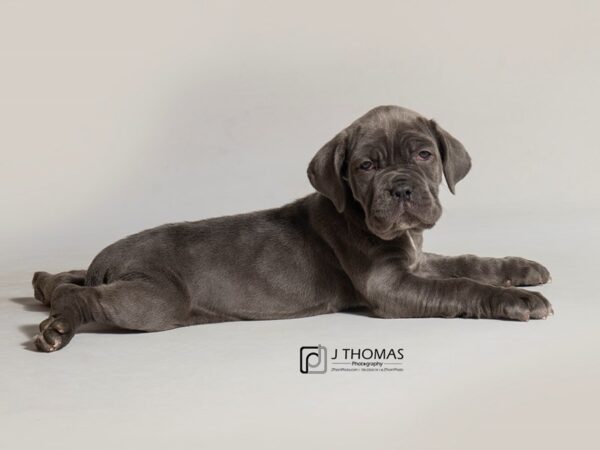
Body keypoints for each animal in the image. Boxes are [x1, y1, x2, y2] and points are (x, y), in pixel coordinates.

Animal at [29, 104, 552, 352]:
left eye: (424, 154)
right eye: (365, 166)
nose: (401, 189)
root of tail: (105, 259)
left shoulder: (417, 259)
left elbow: (469, 261)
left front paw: (522, 269)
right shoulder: (390, 285)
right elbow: (461, 285)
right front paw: (517, 302)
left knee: (66, 280)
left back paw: (41, 283)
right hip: (155, 298)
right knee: (84, 297)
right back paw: (57, 327)